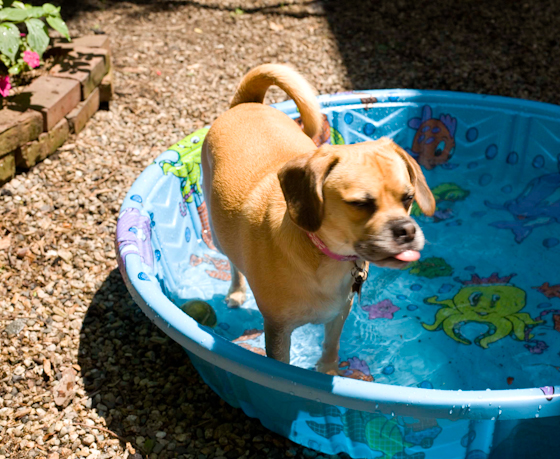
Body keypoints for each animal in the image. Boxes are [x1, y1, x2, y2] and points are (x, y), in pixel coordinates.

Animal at [202, 64, 438, 374]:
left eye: (408, 198)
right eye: (360, 204)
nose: (407, 230)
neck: (324, 257)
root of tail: (247, 103)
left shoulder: (338, 314)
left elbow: (331, 346)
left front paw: (327, 372)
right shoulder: (278, 330)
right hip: (218, 233)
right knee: (232, 261)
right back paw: (237, 291)